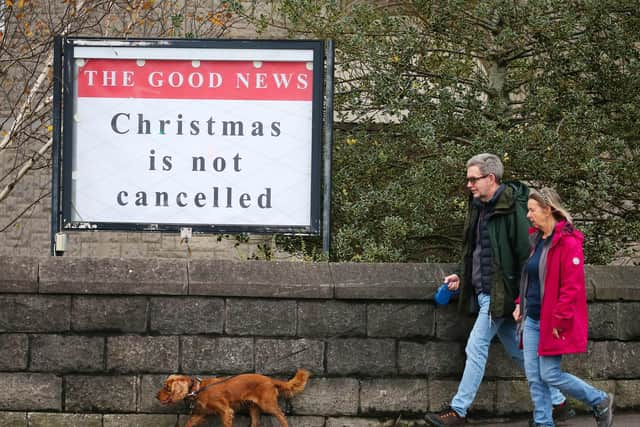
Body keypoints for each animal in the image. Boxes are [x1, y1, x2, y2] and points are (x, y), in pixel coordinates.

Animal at [159, 370, 312, 426]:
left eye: (167, 388)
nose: (156, 396)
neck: (198, 388)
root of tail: (270, 379)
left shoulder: (226, 411)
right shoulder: (201, 413)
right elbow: (189, 423)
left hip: (268, 404)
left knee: (282, 416)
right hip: (253, 408)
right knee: (256, 422)